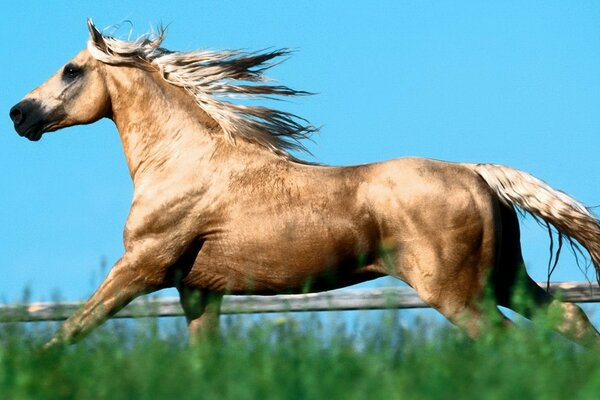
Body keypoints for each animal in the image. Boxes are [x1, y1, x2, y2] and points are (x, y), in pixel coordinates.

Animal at [9, 20, 600, 346]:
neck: (184, 162)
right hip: (504, 279)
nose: (18, 115)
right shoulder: (197, 291)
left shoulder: (140, 268)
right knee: (570, 316)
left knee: (509, 343)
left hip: (457, 295)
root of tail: (476, 172)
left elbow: (66, 334)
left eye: (70, 70)